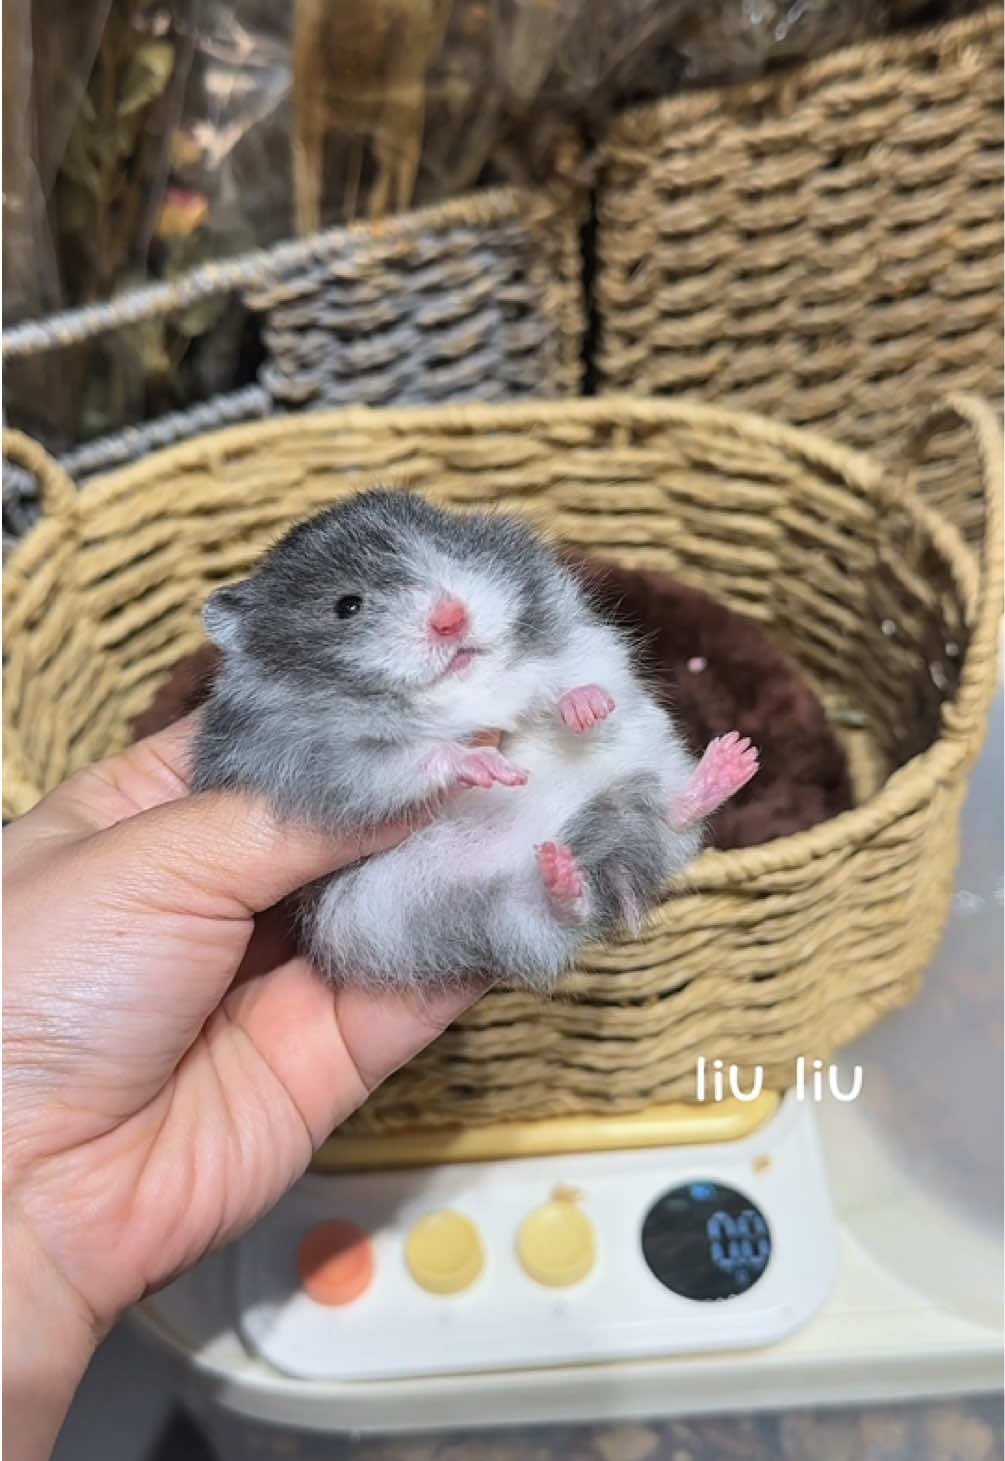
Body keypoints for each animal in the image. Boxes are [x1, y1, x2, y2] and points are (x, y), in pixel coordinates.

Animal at [191, 489, 758, 992]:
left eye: (448, 553)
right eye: (347, 606)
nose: (452, 618)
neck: (458, 685)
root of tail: (606, 851)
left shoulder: (576, 636)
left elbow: (568, 675)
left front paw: (586, 708)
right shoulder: (309, 756)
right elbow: (407, 757)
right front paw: (488, 766)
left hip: (650, 758)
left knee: (670, 817)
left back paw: (731, 762)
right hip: (437, 915)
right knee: (559, 918)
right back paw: (561, 872)